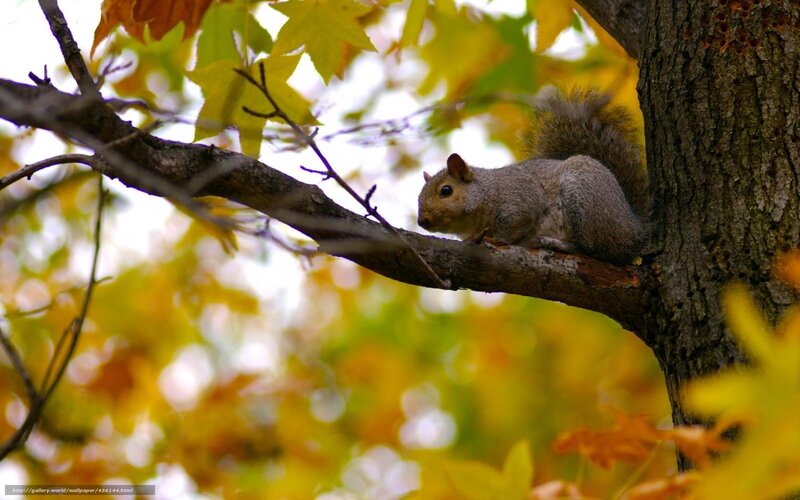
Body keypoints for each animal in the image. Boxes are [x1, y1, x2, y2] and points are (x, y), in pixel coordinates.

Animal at [417, 87, 649, 265]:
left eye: (446, 190)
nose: (422, 221)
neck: (487, 191)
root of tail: (635, 229)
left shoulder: (519, 196)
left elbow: (516, 222)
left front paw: (496, 239)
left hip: (584, 201)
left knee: (592, 250)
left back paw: (555, 243)